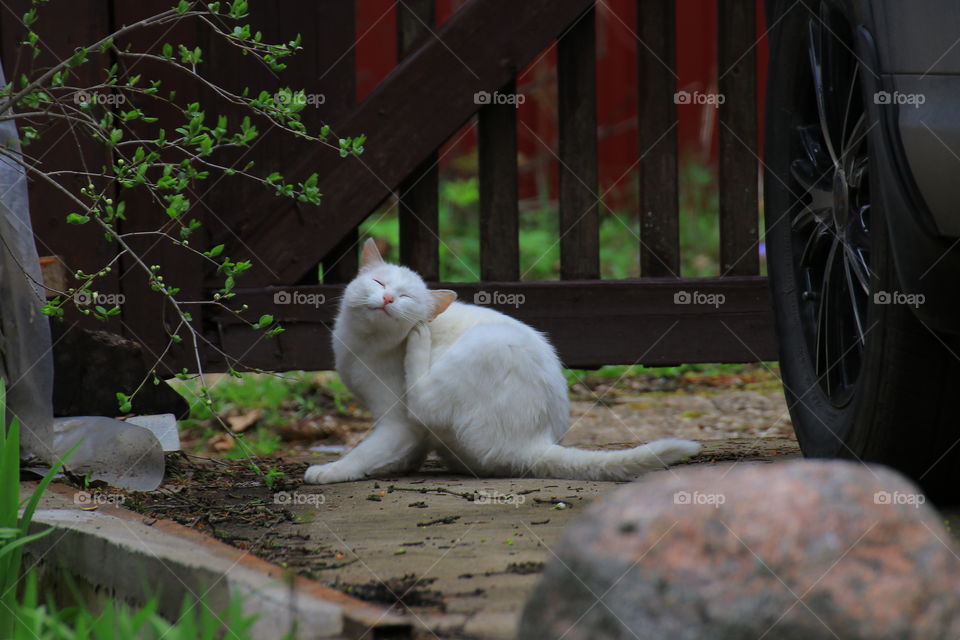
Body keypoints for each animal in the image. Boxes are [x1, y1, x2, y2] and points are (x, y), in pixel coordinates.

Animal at [304, 241, 700, 484]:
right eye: (378, 281)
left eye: (406, 298)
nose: (387, 299)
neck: (361, 346)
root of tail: (537, 442)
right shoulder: (404, 432)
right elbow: (396, 453)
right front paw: (400, 465)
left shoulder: (398, 423)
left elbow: (364, 452)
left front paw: (330, 470)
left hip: (483, 345)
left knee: (424, 400)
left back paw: (420, 338)